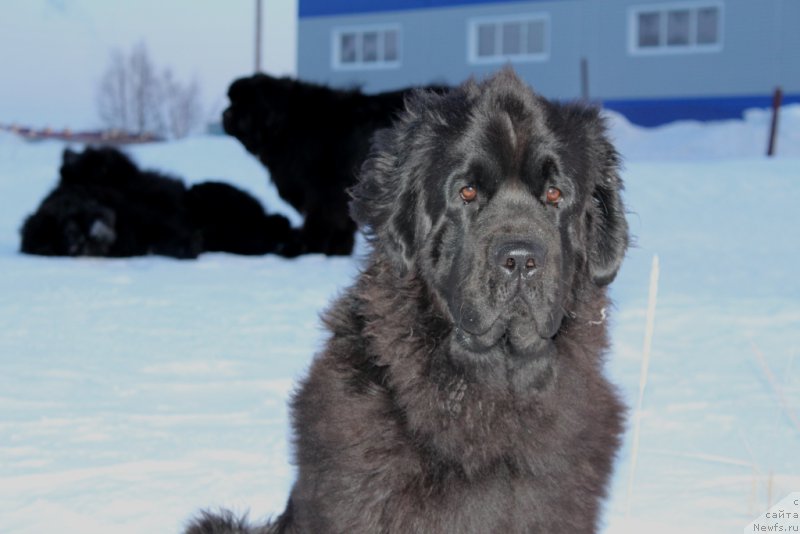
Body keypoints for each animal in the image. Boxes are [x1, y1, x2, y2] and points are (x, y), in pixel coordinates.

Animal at [21, 148, 298, 260]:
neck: (124, 216)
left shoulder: (116, 177)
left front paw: (73, 158)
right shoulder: (143, 239)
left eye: (72, 218)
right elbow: (173, 244)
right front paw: (189, 243)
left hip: (212, 197)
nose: (91, 236)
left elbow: (100, 163)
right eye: (69, 242)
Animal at [222, 75, 450, 258]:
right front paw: (336, 251)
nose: (225, 114)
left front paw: (307, 247)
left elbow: (321, 220)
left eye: (243, 105)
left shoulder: (323, 190)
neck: (290, 125)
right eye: (232, 102)